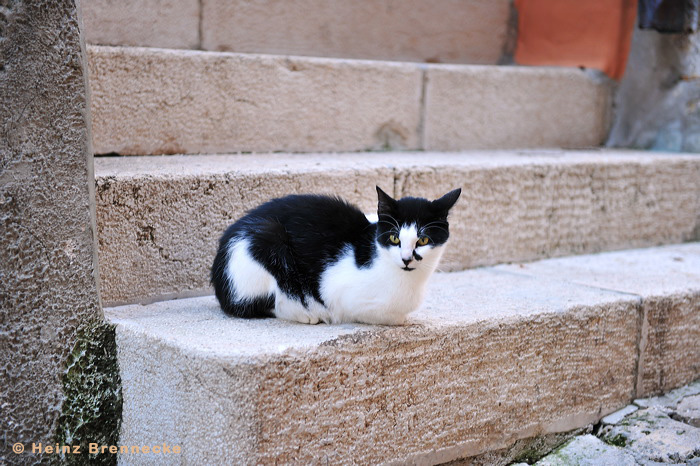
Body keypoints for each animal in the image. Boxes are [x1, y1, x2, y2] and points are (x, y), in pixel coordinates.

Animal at [209, 186, 460, 324]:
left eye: (423, 240)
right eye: (394, 238)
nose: (407, 259)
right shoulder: (342, 293)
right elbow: (384, 315)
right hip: (266, 238)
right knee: (268, 300)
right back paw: (307, 312)